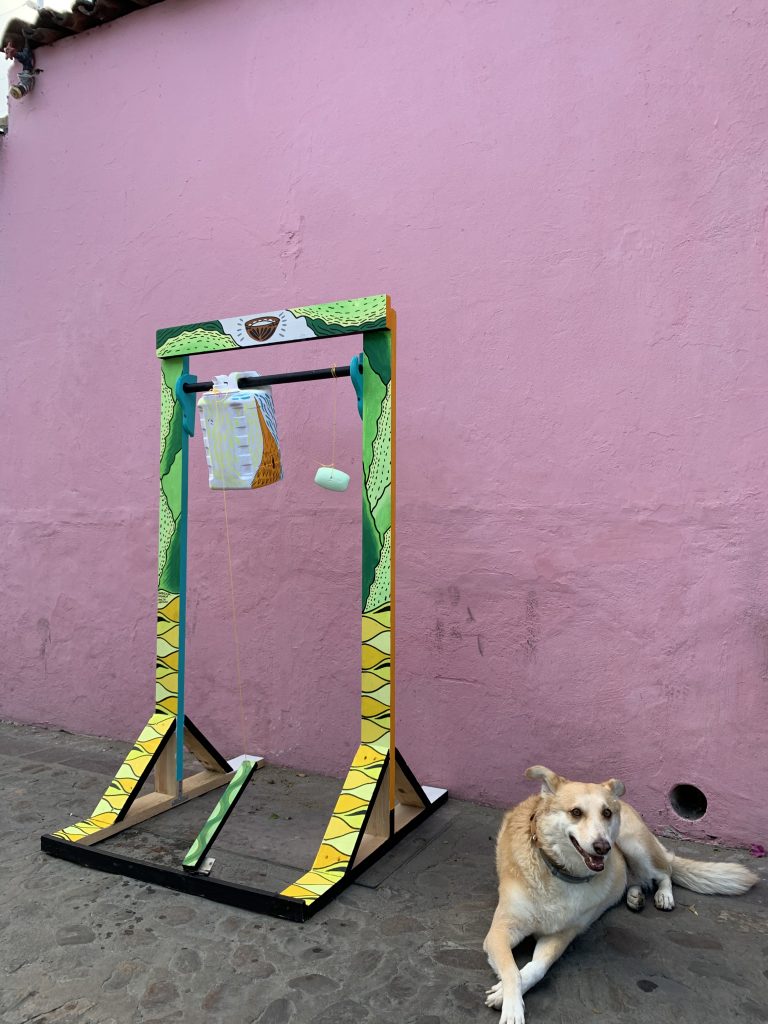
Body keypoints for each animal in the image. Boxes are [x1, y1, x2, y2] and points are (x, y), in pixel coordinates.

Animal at [483, 765, 761, 1024]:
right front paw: (512, 1006)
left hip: (633, 844)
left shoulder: (562, 935)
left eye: (606, 813)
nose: (603, 847)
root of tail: (625, 803)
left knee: (665, 873)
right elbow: (512, 970)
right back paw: (635, 897)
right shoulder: (500, 931)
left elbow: (536, 968)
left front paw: (503, 995)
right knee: (637, 880)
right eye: (576, 812)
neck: (558, 871)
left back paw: (663, 896)